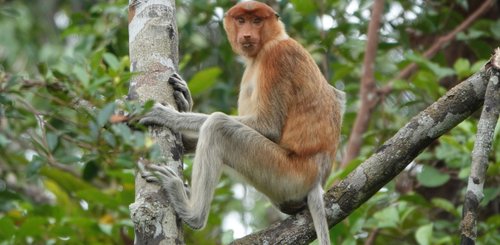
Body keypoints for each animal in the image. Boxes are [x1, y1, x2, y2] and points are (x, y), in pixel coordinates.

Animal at [139, 1, 346, 243]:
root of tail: (317, 179)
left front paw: (168, 116)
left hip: (287, 173)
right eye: (241, 20)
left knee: (218, 127)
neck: (271, 41)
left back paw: (191, 211)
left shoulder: (277, 57)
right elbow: (338, 97)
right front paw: (184, 101)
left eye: (257, 21)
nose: (246, 34)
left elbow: (268, 126)